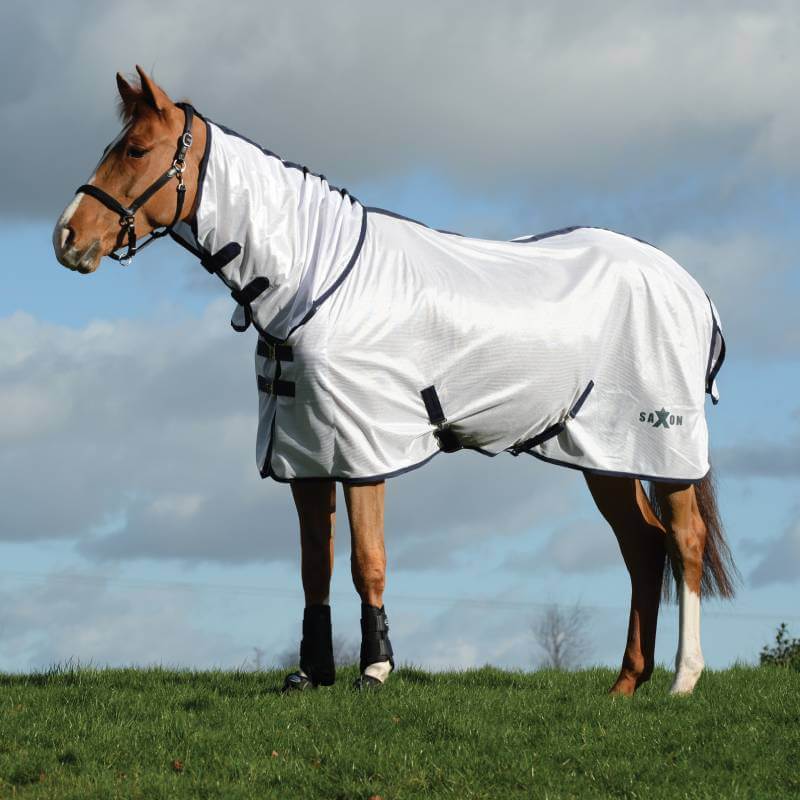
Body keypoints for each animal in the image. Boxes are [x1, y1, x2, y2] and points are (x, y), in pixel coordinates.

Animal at [53, 67, 737, 695]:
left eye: (135, 149)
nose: (67, 238)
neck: (315, 279)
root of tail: (693, 288)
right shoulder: (304, 455)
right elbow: (314, 566)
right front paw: (312, 672)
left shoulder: (363, 448)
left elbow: (366, 561)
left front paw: (375, 668)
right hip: (603, 453)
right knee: (643, 548)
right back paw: (626, 685)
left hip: (662, 446)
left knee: (685, 541)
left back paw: (683, 679)